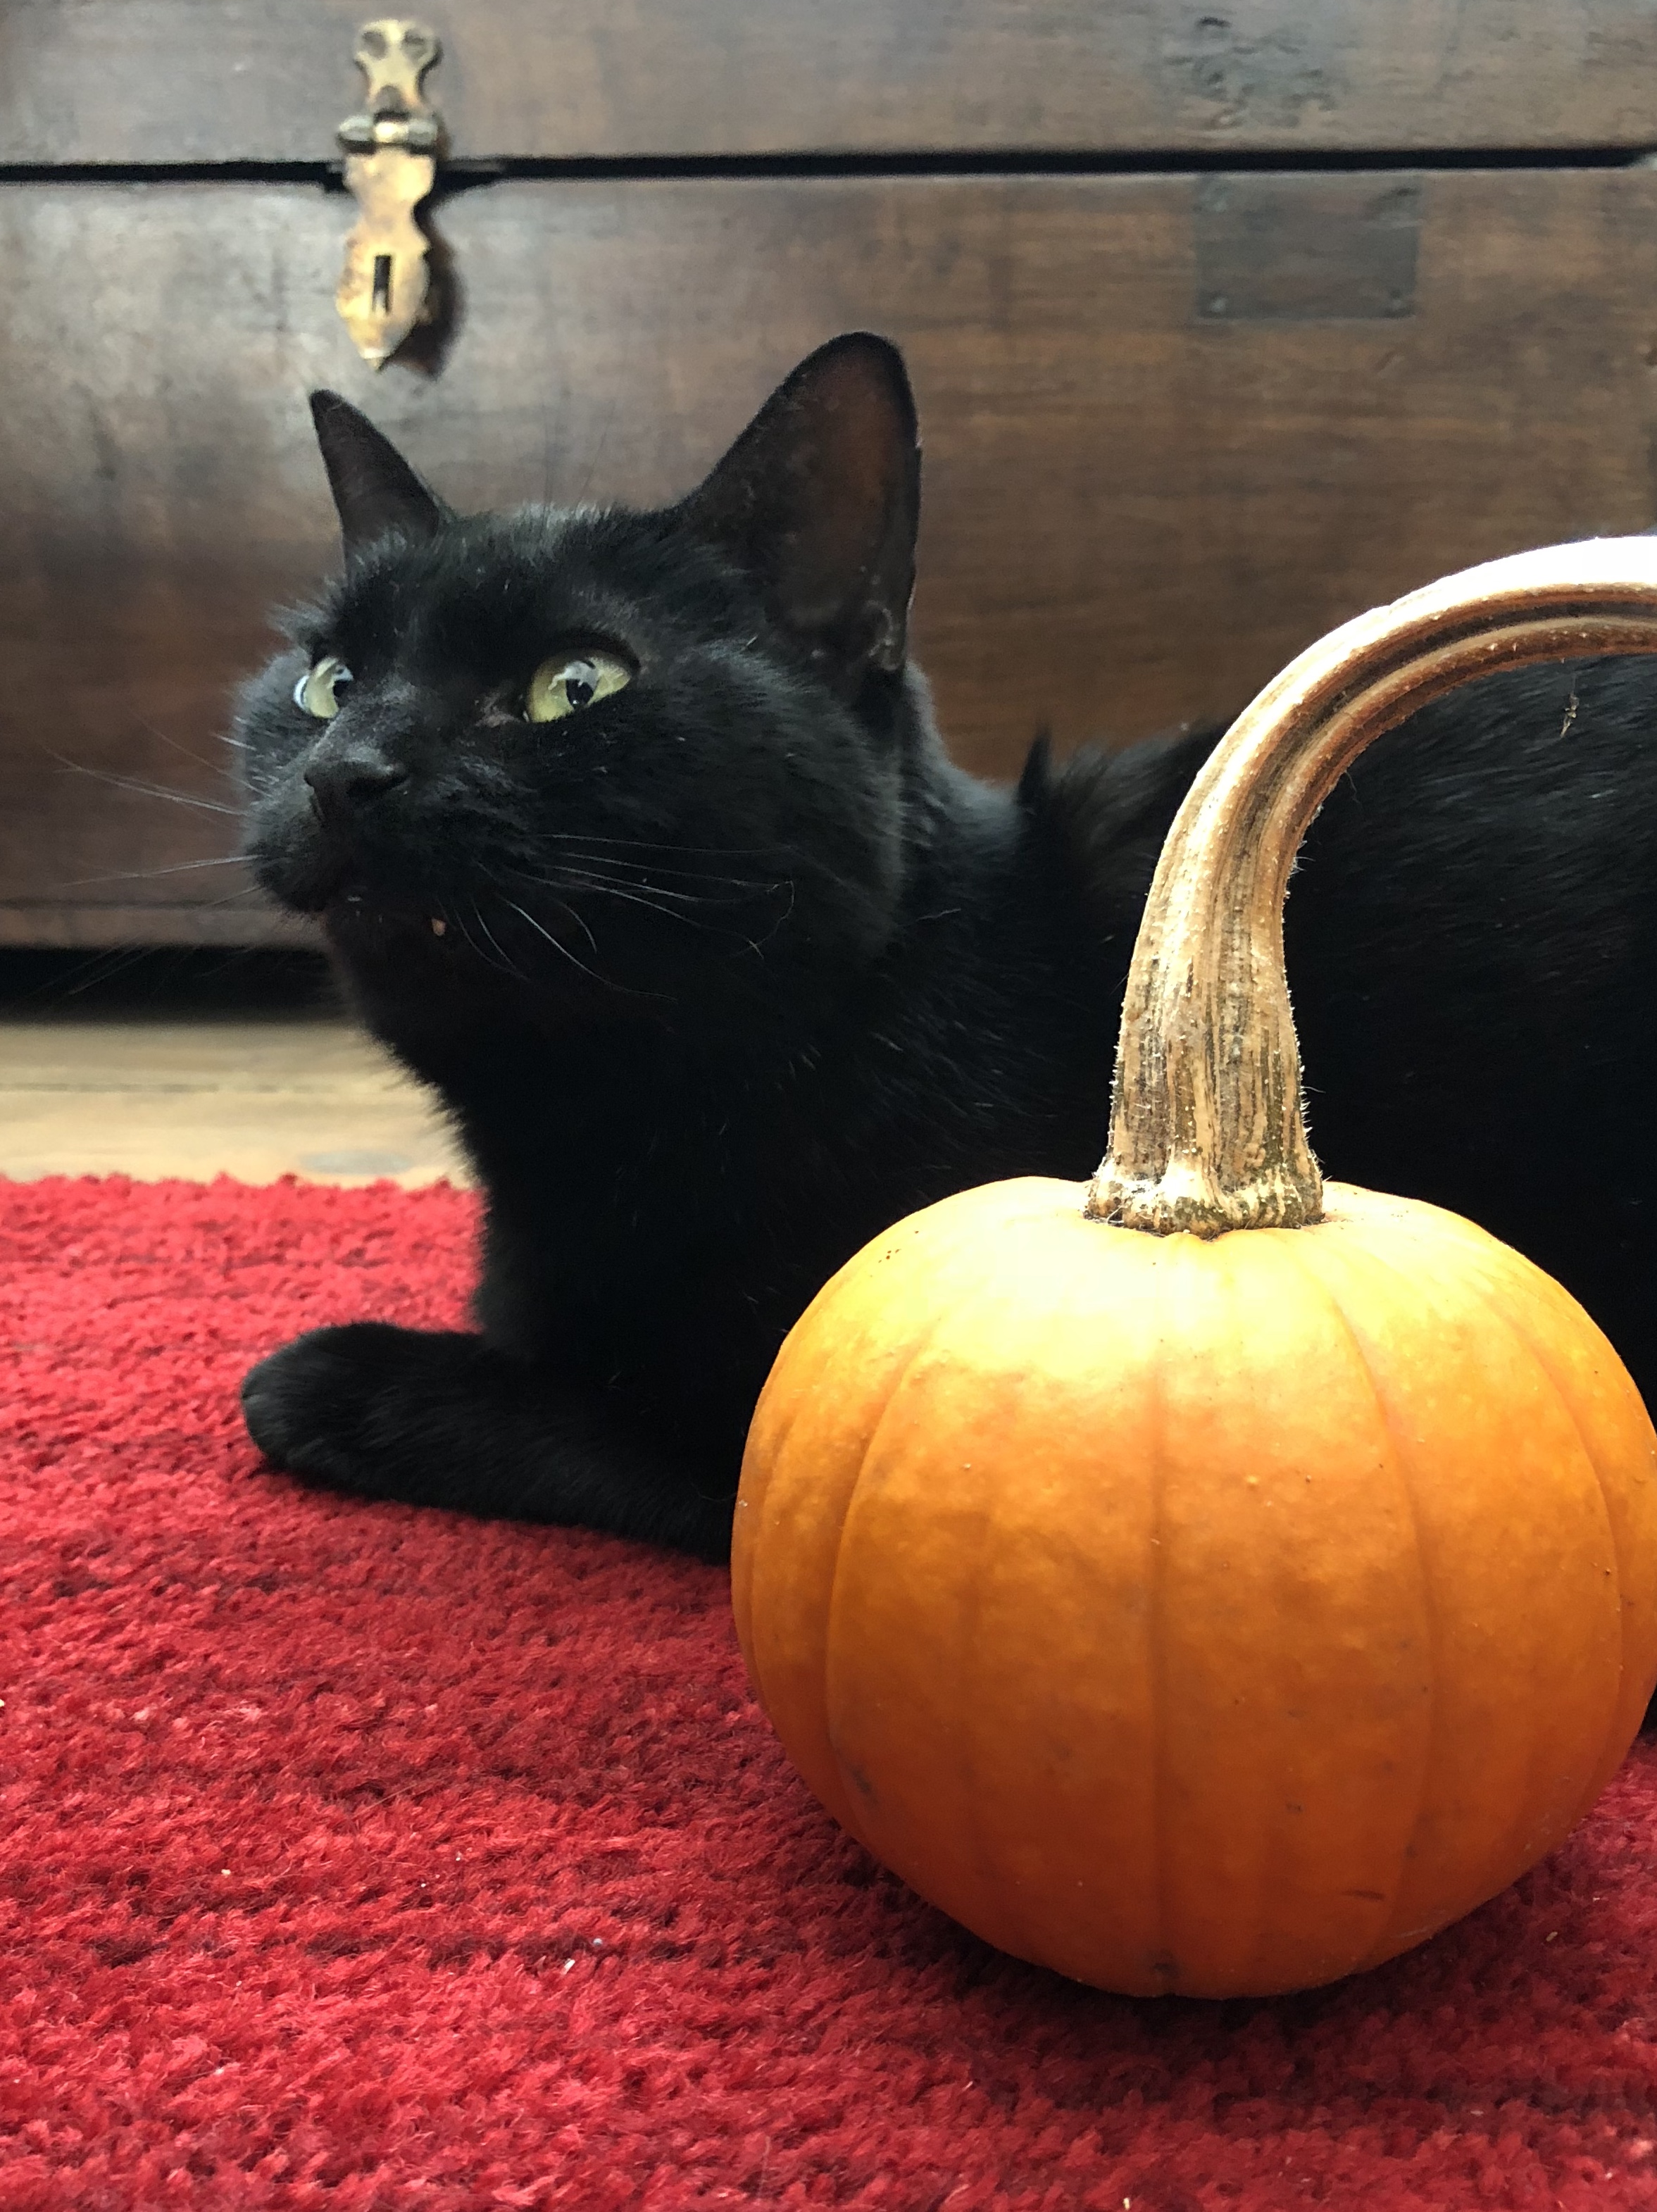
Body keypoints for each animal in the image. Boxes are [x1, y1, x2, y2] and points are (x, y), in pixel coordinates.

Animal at [236, 331, 1657, 1558]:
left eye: (573, 687)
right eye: (328, 683)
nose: (345, 771)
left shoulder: (749, 1423)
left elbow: (520, 1400)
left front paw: (333, 1371)